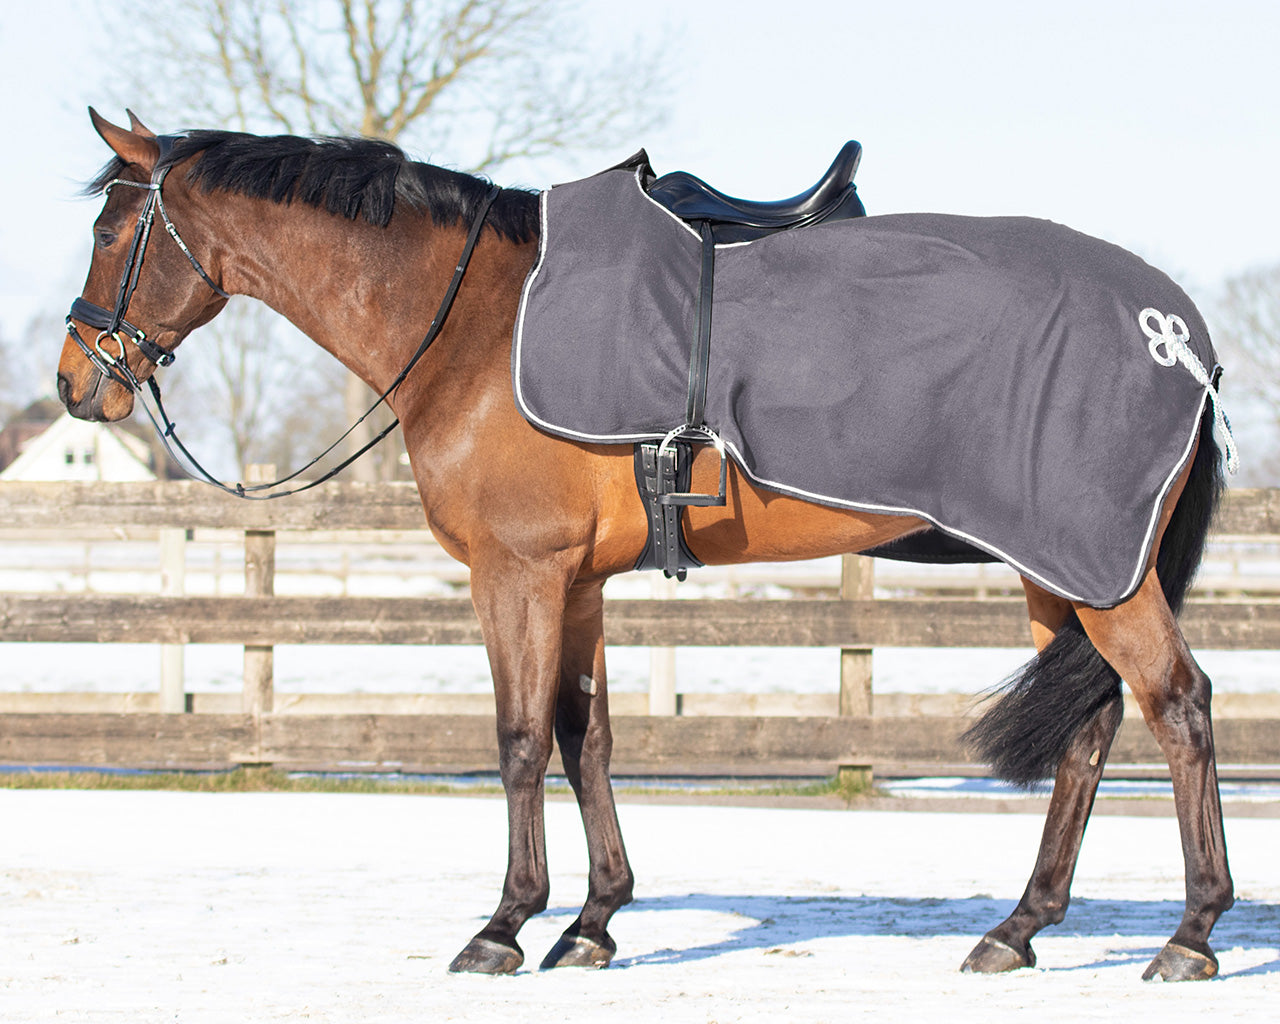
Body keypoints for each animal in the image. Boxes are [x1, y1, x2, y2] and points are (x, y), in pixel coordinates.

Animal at [57, 109, 1234, 983]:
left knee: (1177, 705)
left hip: (1104, 571)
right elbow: (587, 738)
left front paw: (504, 925)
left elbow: (519, 738)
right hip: (1055, 569)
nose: (77, 383)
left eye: (112, 235)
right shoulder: (574, 583)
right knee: (1089, 731)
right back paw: (1017, 928)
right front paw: (592, 923)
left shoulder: (517, 573)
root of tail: (1177, 333)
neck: (477, 324)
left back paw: (1189, 934)